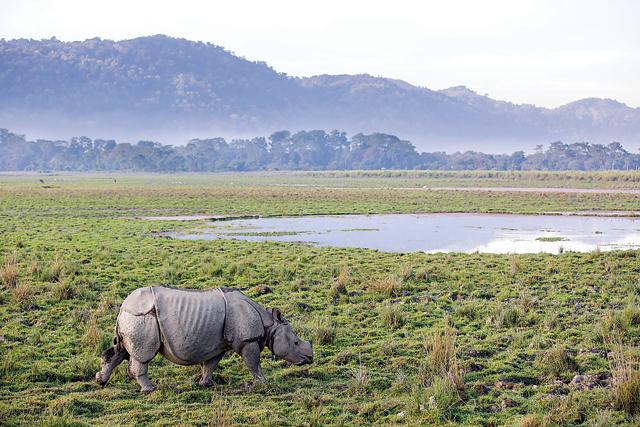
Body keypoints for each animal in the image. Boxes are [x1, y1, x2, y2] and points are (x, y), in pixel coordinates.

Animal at [95, 286, 313, 392]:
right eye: (295, 343)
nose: (310, 358)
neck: (269, 325)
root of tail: (123, 306)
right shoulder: (247, 341)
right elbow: (254, 364)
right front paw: (264, 384)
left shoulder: (219, 345)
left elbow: (211, 364)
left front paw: (207, 384)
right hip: (142, 317)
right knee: (142, 355)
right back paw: (149, 389)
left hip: (132, 318)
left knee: (120, 351)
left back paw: (100, 381)